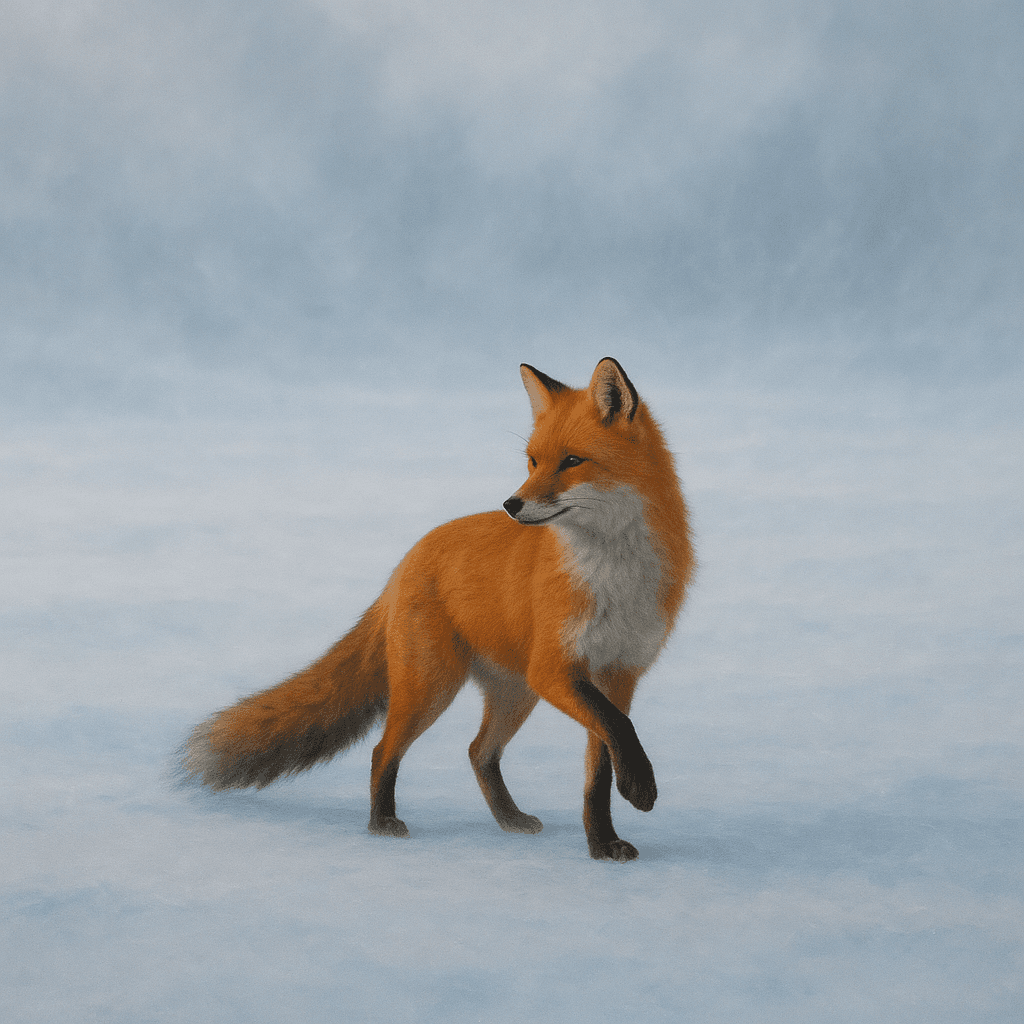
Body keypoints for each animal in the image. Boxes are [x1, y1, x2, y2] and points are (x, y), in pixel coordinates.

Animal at [181, 357, 695, 861]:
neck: (614, 574)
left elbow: (601, 769)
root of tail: (410, 556)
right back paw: (381, 824)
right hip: (434, 685)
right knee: (383, 749)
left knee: (477, 751)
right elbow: (619, 731)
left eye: (572, 461)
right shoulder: (554, 669)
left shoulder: (617, 675)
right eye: (532, 461)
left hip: (513, 693)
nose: (511, 504)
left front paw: (602, 842)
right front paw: (639, 790)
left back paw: (509, 819)